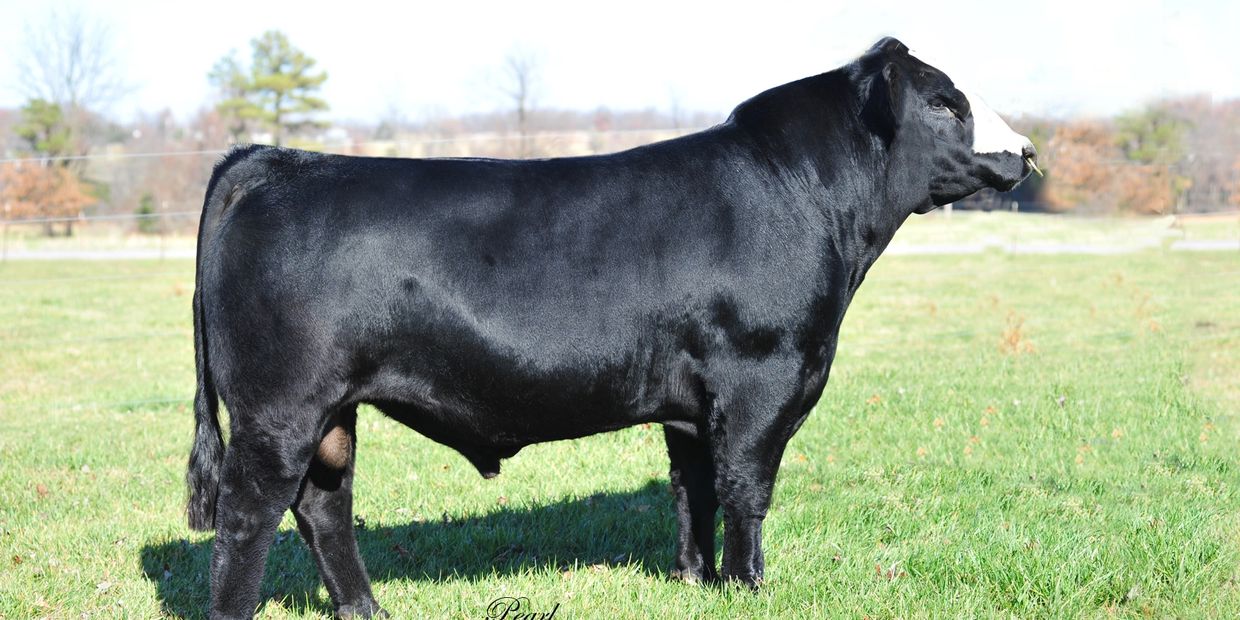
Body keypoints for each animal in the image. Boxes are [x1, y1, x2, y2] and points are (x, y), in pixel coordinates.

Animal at [186, 37, 1036, 615]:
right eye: (946, 103)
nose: (1028, 150)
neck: (809, 200)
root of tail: (276, 161)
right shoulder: (762, 378)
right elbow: (746, 488)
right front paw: (749, 586)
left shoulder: (694, 403)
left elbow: (695, 487)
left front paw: (696, 579)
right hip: (279, 409)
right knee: (247, 519)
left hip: (329, 412)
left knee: (324, 505)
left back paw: (369, 610)